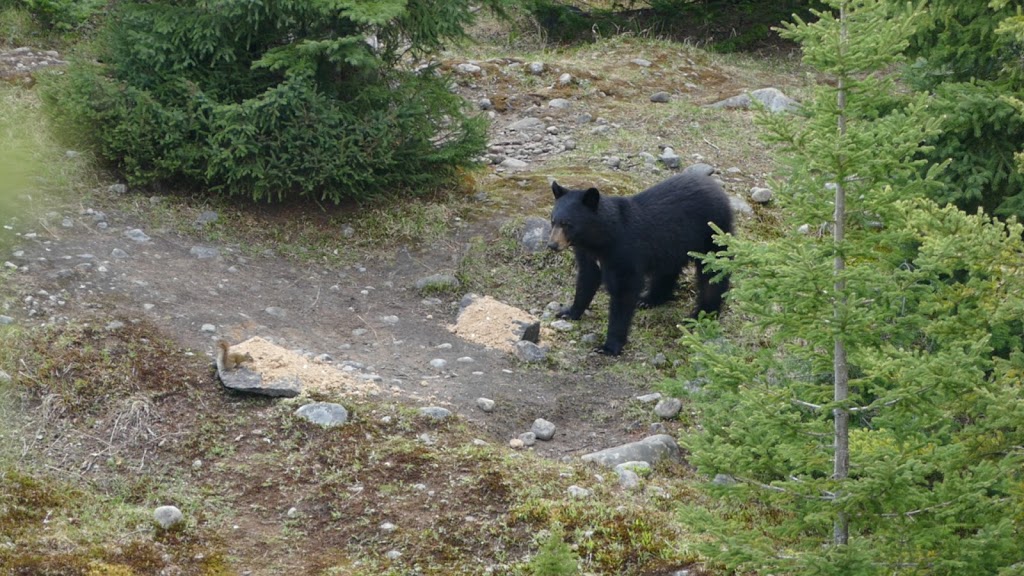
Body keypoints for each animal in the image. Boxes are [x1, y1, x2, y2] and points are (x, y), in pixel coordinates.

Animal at [548, 172, 733, 354]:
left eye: (567, 224)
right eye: (553, 220)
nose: (552, 245)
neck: (599, 240)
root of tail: (717, 188)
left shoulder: (624, 253)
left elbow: (624, 291)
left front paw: (609, 346)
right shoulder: (587, 254)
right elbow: (586, 280)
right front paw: (568, 312)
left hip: (712, 234)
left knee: (713, 274)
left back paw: (701, 315)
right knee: (668, 270)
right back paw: (649, 299)